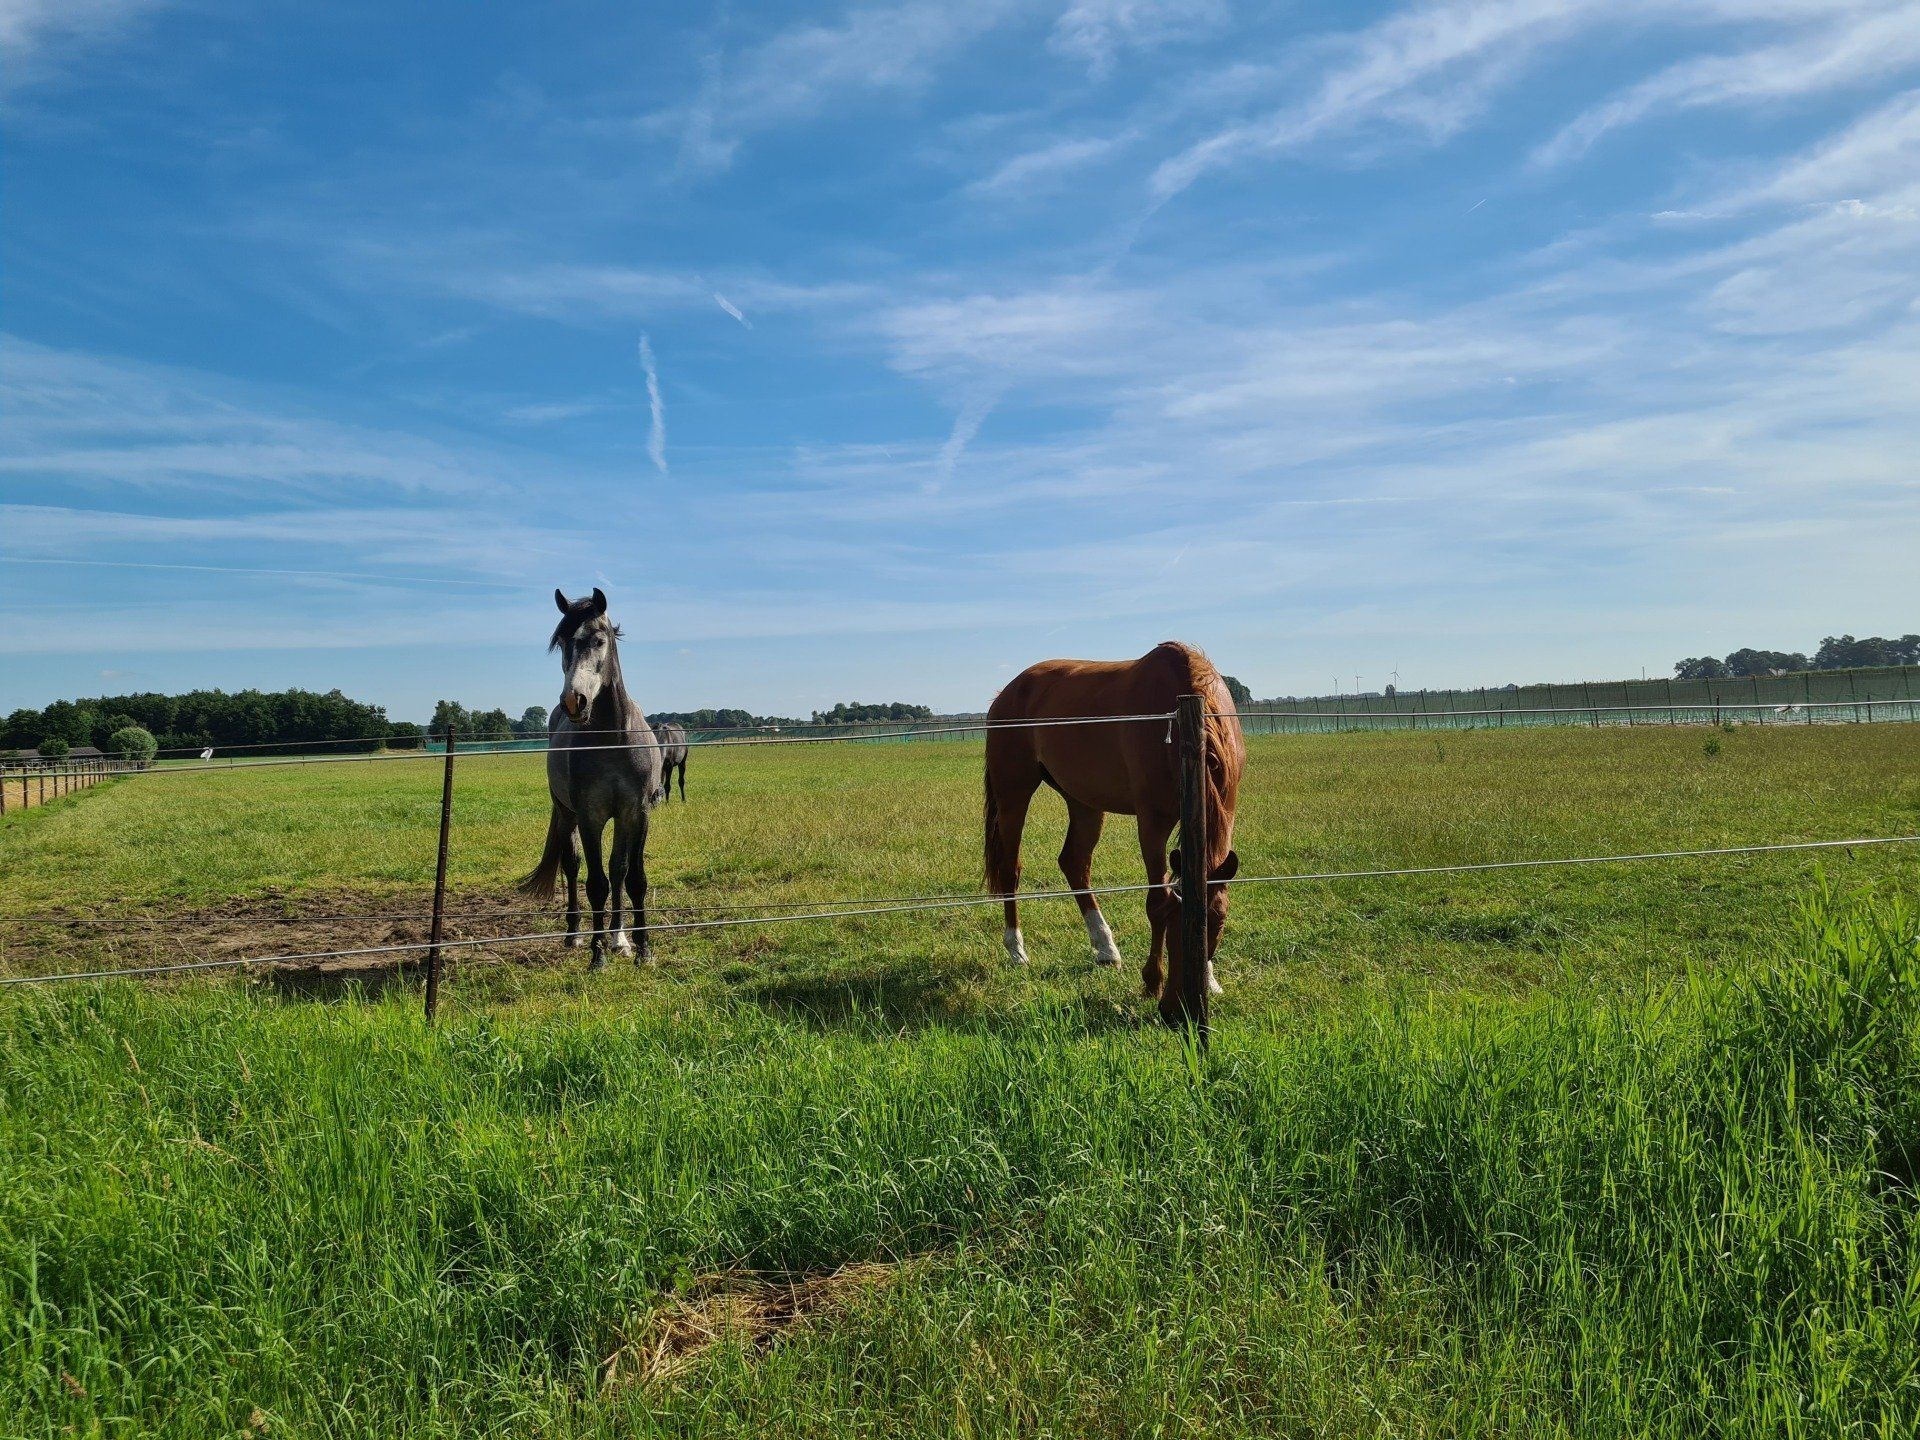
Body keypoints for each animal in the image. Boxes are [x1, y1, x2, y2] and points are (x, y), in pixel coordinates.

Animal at [520, 588, 663, 969]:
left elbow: (632, 878)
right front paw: (597, 957)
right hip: (566, 813)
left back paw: (618, 938)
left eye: (599, 640)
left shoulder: (636, 813)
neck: (613, 738)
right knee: (572, 866)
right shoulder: (590, 816)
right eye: (562, 643)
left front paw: (642, 949)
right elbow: (595, 883)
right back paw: (575, 935)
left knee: (618, 870)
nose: (574, 701)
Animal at [983, 641, 1244, 1025]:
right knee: (1010, 868)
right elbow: (1156, 901)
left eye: (1217, 925)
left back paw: (1105, 948)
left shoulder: (1227, 808)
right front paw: (1151, 981)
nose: (1176, 1012)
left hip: (1083, 801)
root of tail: (1008, 692)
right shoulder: (1152, 821)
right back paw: (1016, 949)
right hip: (1013, 793)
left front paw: (1208, 980)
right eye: (1173, 924)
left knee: (1074, 862)